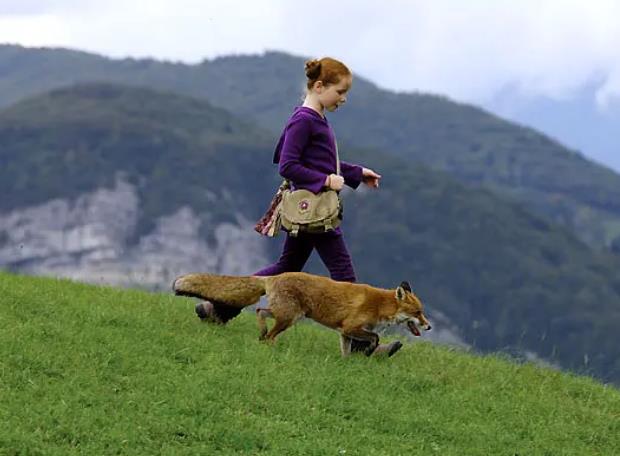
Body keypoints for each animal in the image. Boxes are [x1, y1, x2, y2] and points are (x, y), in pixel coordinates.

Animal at [172, 270, 428, 356]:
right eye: (418, 312)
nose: (429, 326)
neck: (379, 305)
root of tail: (273, 276)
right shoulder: (351, 327)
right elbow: (374, 337)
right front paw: (370, 351)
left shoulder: (344, 333)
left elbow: (346, 352)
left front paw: (347, 365)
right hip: (288, 318)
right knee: (269, 331)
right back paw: (269, 345)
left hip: (286, 315)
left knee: (260, 311)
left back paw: (261, 334)